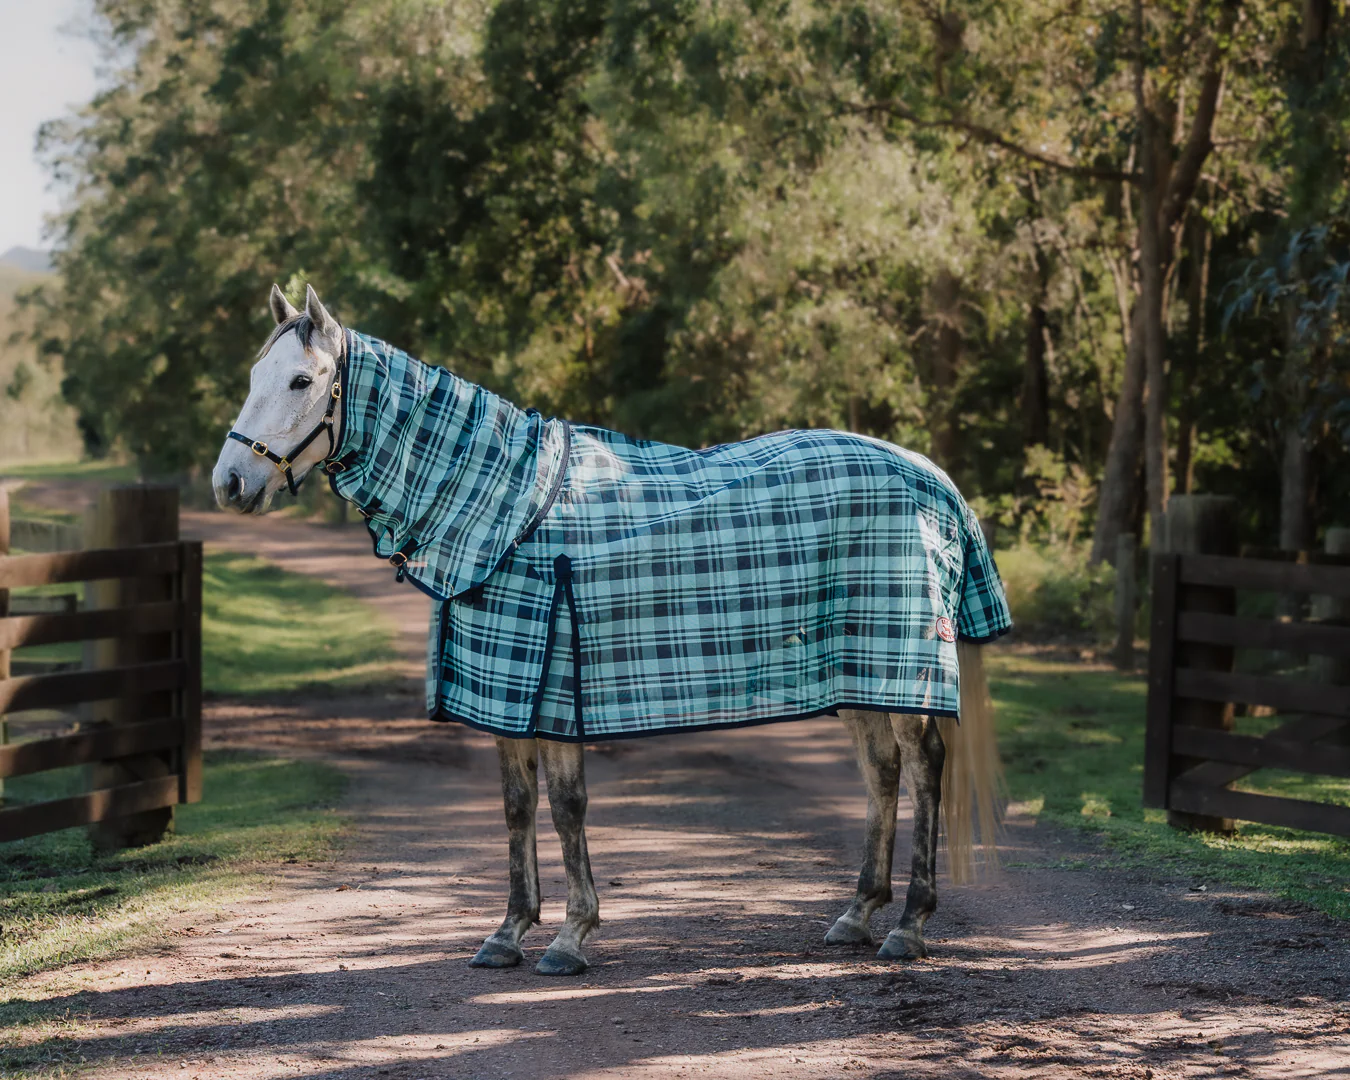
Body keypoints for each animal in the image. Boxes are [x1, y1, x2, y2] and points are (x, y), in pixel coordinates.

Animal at [213, 284, 1007, 977]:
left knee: (924, 766)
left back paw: (909, 926)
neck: (502, 506)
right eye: (253, 374)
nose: (229, 483)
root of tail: (931, 477)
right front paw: (507, 934)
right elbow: (516, 808)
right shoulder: (507, 689)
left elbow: (567, 808)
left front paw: (570, 938)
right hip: (857, 670)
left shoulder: (555, 687)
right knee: (881, 771)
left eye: (302, 381)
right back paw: (857, 915)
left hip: (906, 662)